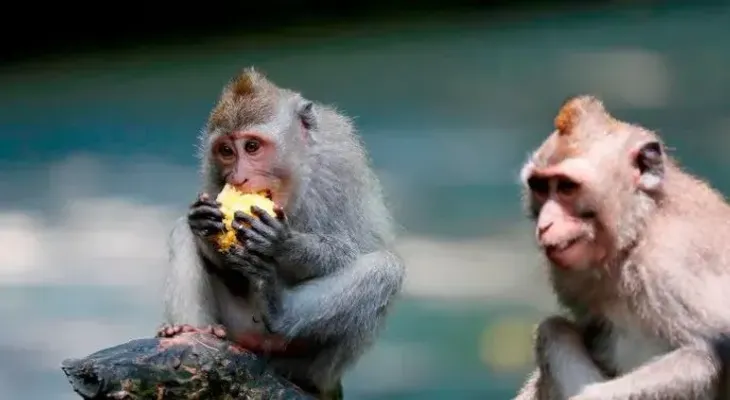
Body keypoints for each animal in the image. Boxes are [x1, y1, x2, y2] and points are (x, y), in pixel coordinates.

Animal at [156, 67, 406, 399]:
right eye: (226, 151)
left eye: (252, 147)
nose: (238, 177)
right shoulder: (212, 174)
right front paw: (204, 224)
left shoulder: (340, 165)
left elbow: (359, 246)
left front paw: (283, 244)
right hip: (236, 326)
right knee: (181, 233)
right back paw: (189, 330)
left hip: (307, 361)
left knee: (384, 269)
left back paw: (279, 314)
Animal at [513, 95, 730, 400]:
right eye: (540, 187)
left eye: (567, 187)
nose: (545, 224)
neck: (638, 230)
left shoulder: (671, 264)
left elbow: (701, 356)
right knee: (553, 330)